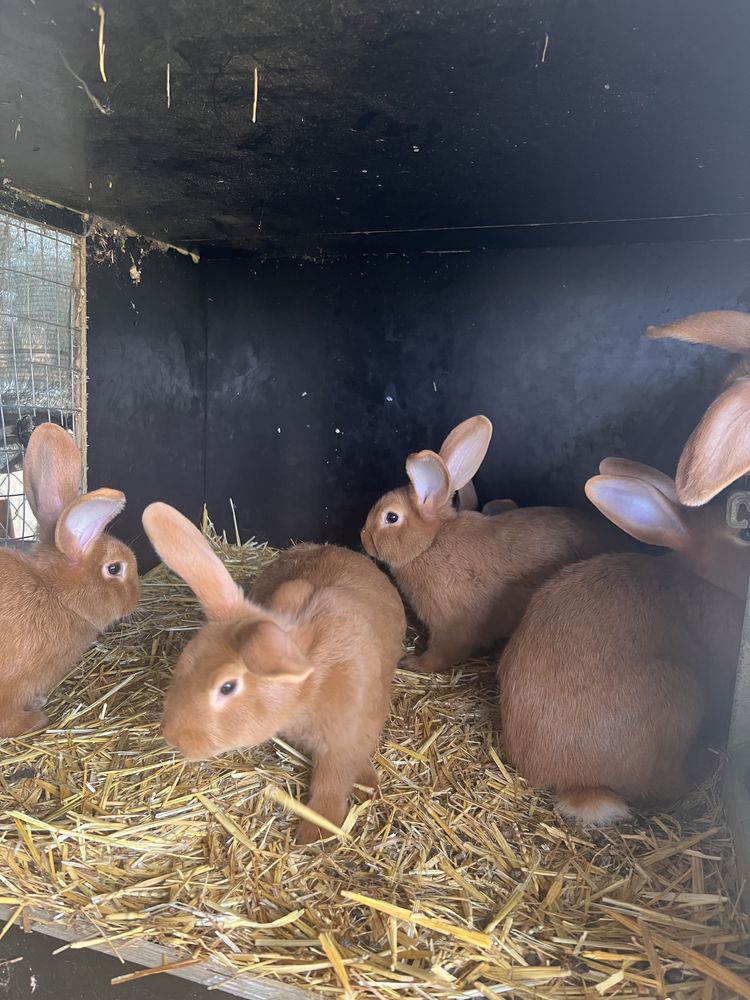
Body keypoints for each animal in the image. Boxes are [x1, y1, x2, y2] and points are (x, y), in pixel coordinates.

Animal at [143, 504, 408, 840]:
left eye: (227, 687)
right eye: (185, 660)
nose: (173, 737)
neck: (307, 686)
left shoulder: (344, 741)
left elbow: (331, 784)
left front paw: (314, 833)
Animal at [362, 414, 624, 672]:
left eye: (391, 517)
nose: (363, 537)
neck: (429, 544)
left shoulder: (450, 625)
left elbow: (441, 654)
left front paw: (412, 663)